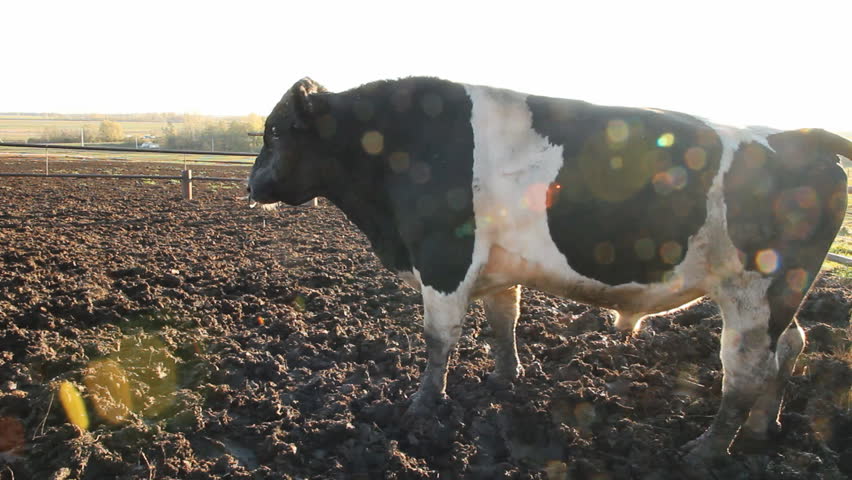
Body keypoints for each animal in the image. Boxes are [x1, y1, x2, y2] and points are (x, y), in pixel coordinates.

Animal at [247, 77, 849, 460]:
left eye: (275, 131)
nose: (251, 184)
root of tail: (800, 136)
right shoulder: (495, 266)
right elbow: (503, 320)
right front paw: (504, 378)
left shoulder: (443, 260)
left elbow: (439, 340)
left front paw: (421, 407)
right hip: (780, 295)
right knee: (789, 348)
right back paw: (761, 431)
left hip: (751, 294)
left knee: (746, 371)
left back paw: (708, 449)